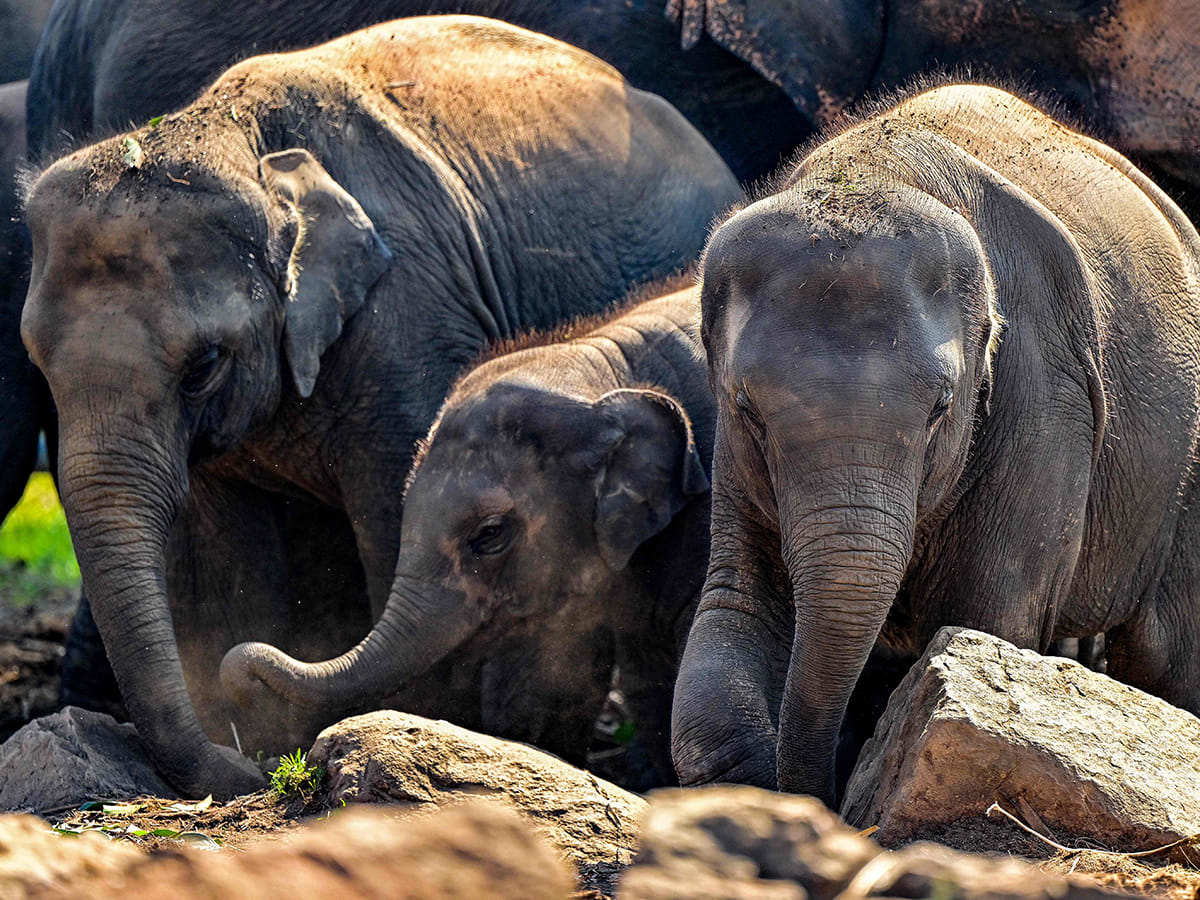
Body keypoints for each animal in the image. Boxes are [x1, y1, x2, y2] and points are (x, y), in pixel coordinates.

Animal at [673, 83, 1200, 808]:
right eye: (747, 408)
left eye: (941, 409)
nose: (821, 799)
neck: (874, 173)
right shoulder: (734, 458)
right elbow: (732, 618)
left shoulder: (1043, 396)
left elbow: (988, 621)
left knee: (1168, 656)